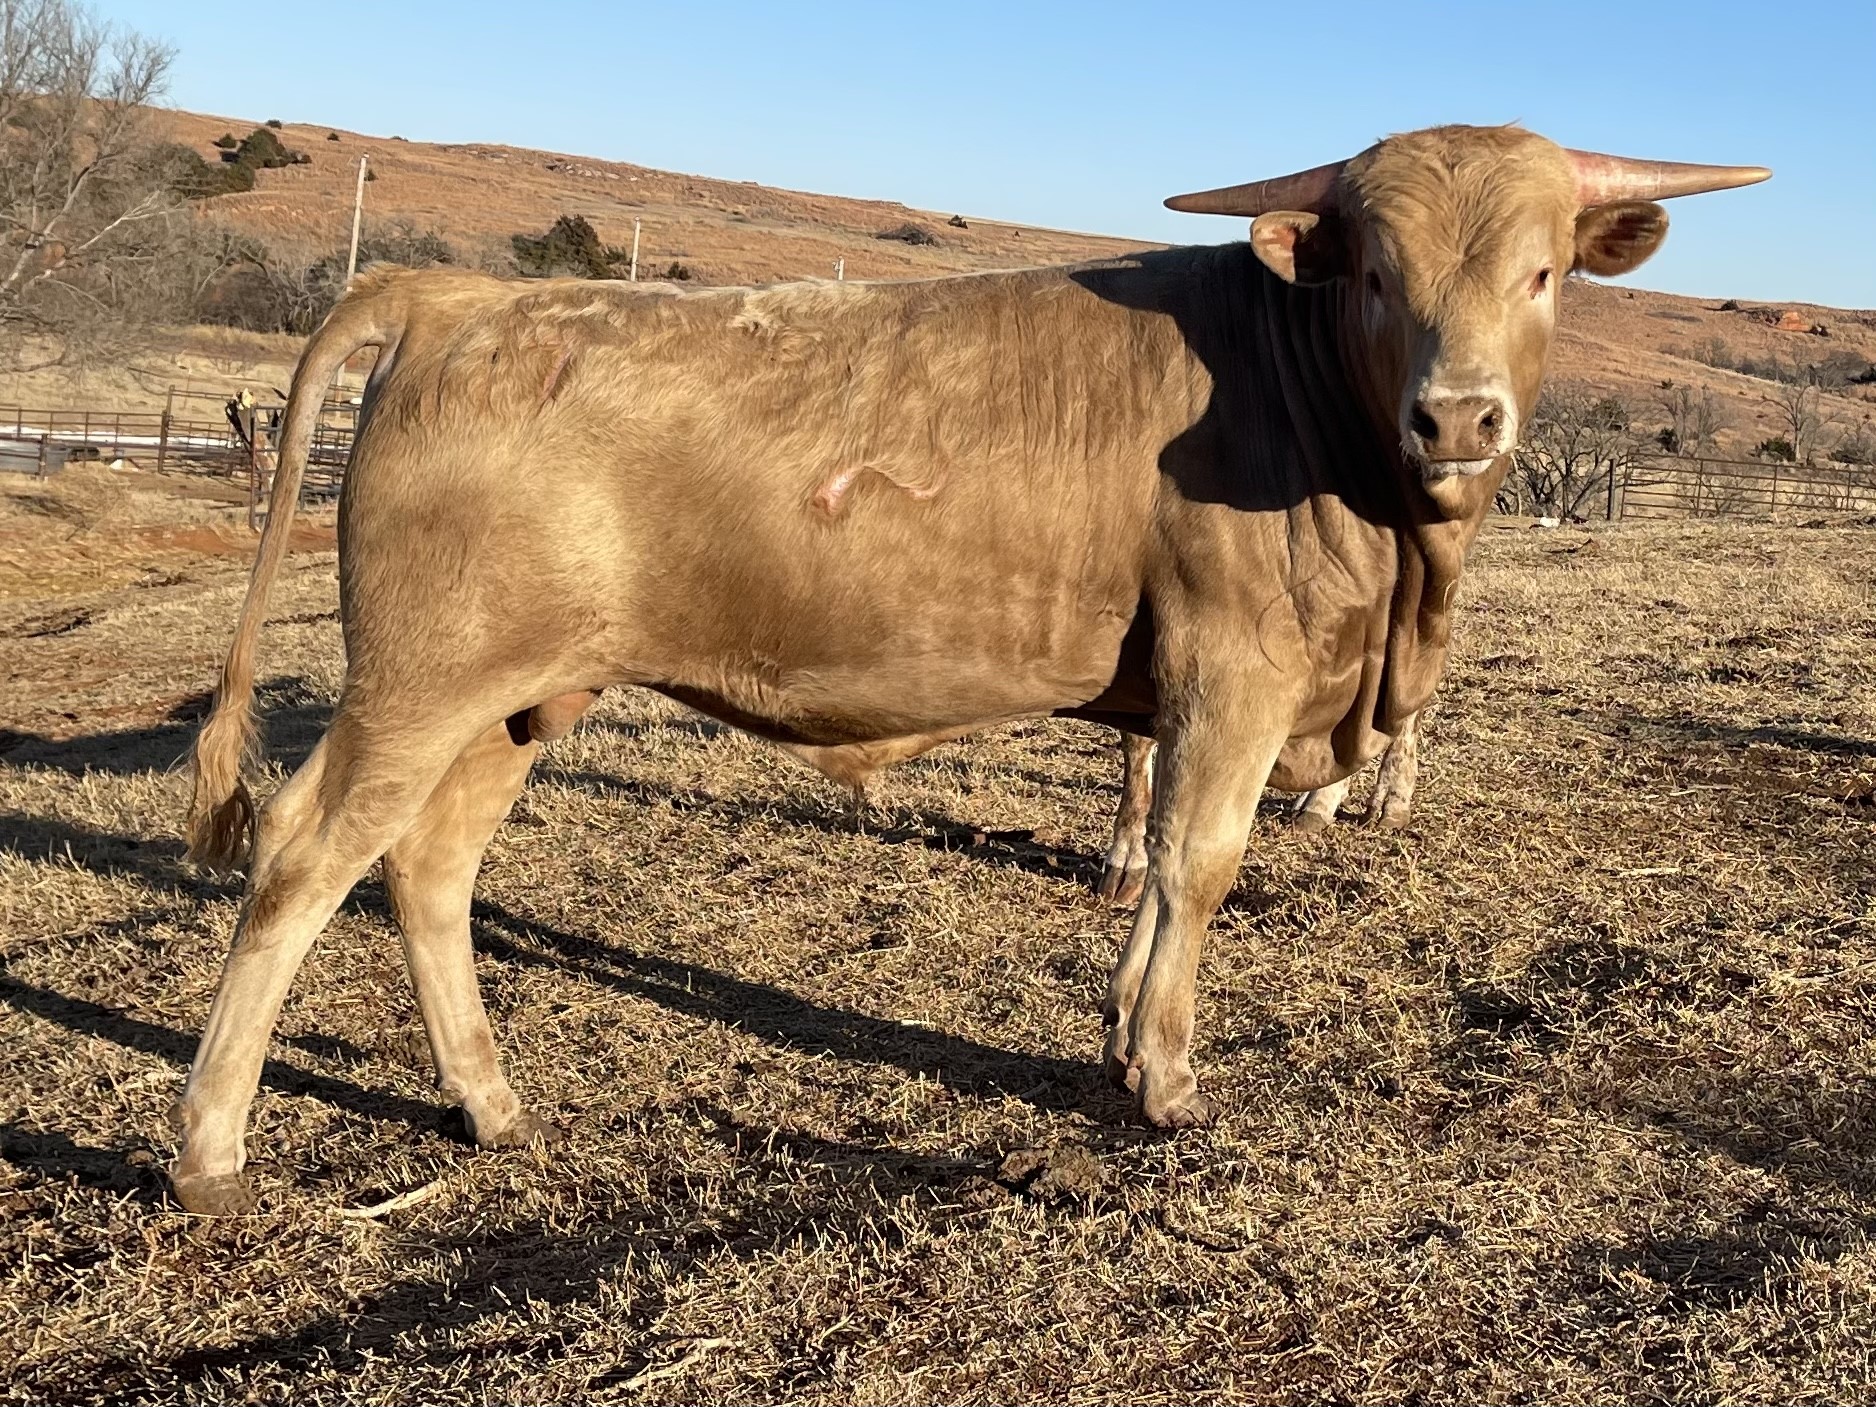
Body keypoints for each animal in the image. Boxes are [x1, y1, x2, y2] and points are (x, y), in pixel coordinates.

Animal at [166, 125, 1766, 1214]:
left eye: (1543, 271)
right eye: (1378, 271)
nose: (1460, 417)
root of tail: (454, 299)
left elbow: (1157, 856)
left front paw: (1119, 1038)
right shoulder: (1236, 674)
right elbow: (1201, 860)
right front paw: (1165, 1075)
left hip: (518, 698)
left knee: (429, 867)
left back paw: (490, 1103)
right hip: (418, 683)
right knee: (304, 857)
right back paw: (209, 1152)